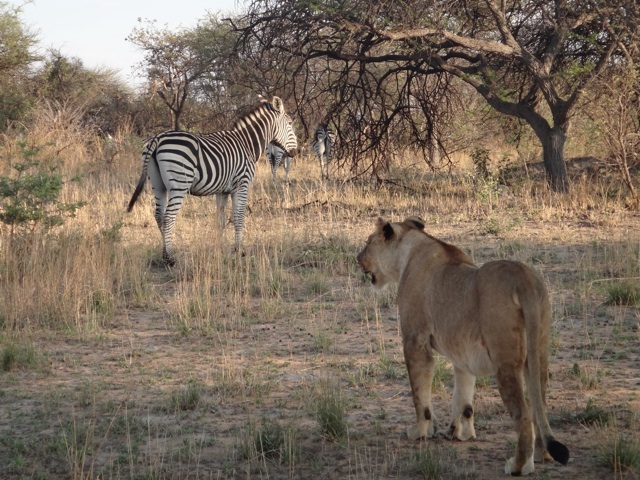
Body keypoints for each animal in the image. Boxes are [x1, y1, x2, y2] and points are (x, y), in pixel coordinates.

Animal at [126, 95, 298, 264]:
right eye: (290, 124)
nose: (296, 152)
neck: (247, 144)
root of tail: (158, 138)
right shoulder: (241, 184)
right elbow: (239, 216)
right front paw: (239, 250)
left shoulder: (222, 190)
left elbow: (220, 220)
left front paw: (219, 250)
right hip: (179, 185)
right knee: (168, 218)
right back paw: (170, 258)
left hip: (157, 184)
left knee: (159, 215)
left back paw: (164, 254)